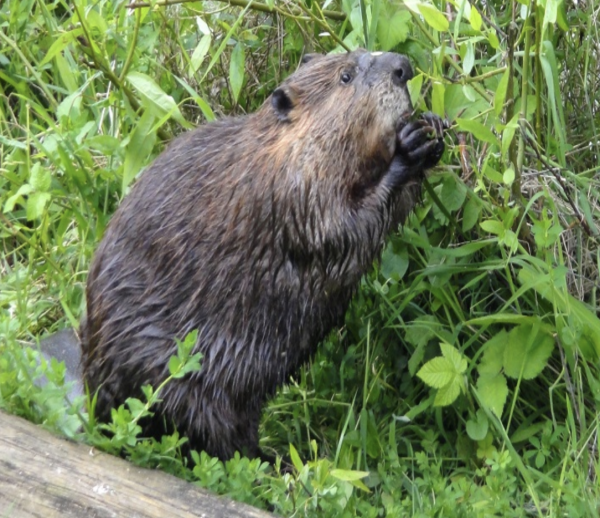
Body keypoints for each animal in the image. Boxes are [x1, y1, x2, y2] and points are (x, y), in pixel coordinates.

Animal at [55, 49, 446, 464]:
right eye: (345, 76)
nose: (402, 66)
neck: (276, 151)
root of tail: (93, 405)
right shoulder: (294, 194)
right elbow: (342, 231)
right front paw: (408, 148)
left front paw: (433, 126)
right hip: (178, 376)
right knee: (215, 440)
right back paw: (279, 462)